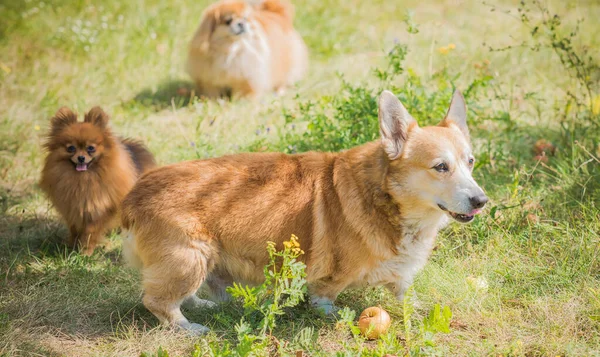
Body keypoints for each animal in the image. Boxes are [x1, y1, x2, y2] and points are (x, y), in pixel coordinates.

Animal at [39, 105, 156, 253]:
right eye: (71, 148)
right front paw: (72, 247)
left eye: (90, 148)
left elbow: (90, 232)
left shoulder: (99, 210)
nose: (81, 157)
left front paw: (85, 251)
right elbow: (74, 230)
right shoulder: (72, 210)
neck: (83, 180)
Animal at [120, 89, 488, 334]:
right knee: (157, 300)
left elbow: (407, 298)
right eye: (440, 167)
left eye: (470, 162)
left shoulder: (401, 278)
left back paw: (202, 305)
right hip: (189, 257)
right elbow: (325, 300)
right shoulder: (327, 280)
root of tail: (134, 194)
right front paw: (332, 315)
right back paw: (187, 327)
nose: (481, 200)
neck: (388, 200)